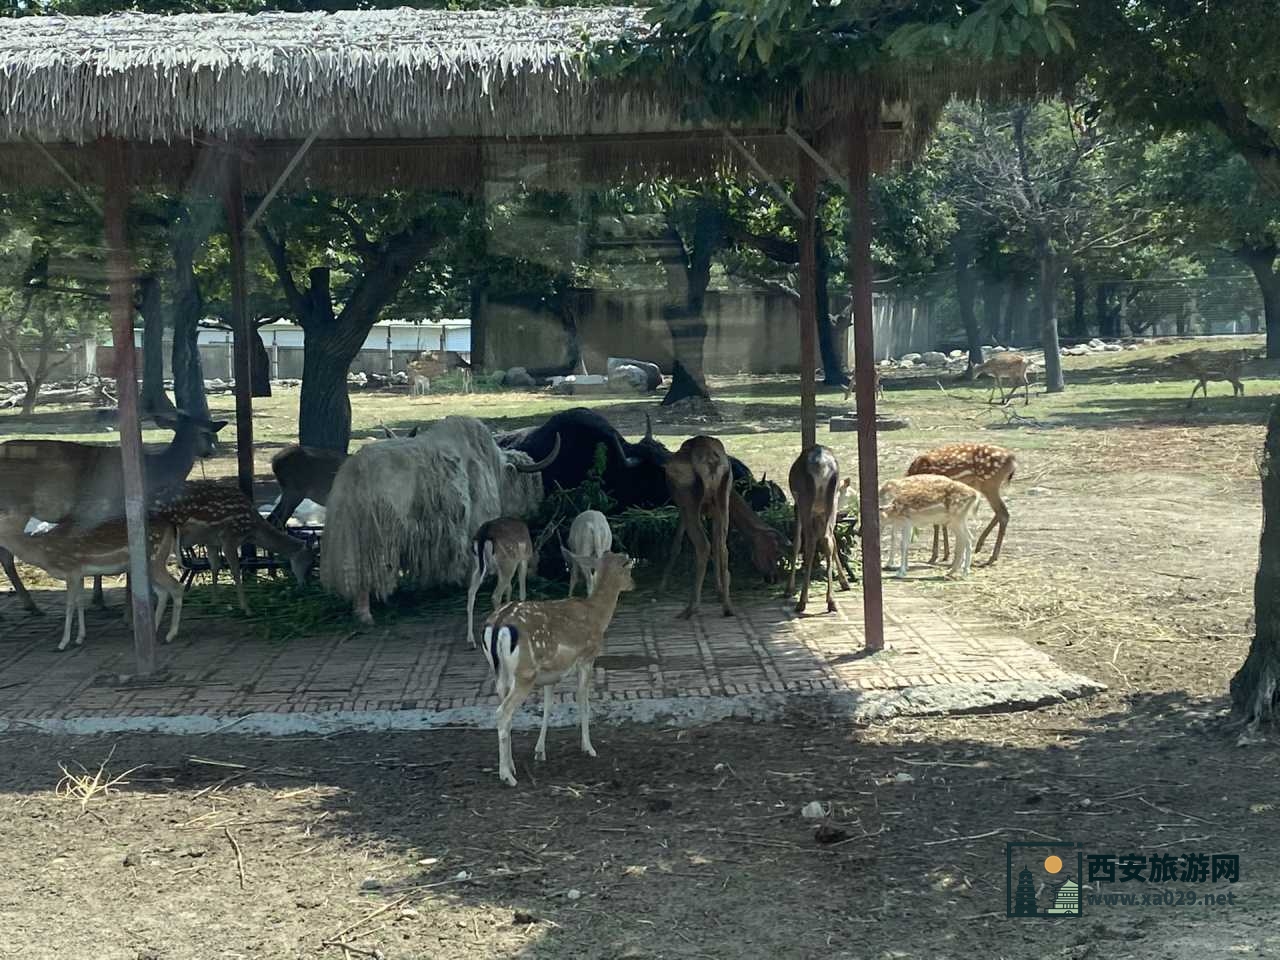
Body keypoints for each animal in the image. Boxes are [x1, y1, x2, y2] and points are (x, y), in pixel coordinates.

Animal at [465, 522, 535, 650]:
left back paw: (471, 640)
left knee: (471, 592)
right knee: (495, 596)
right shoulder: (524, 559)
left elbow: (509, 588)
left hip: (478, 566)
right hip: (508, 563)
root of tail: (484, 534)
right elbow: (522, 592)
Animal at [481, 552, 637, 783]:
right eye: (628, 567)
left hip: (500, 674)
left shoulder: (550, 675)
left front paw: (540, 751)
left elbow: (548, 708)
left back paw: (512, 766)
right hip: (525, 674)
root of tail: (498, 623)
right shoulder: (586, 658)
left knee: (506, 714)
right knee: (503, 712)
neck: (598, 616)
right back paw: (507, 776)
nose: (633, 584)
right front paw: (589, 748)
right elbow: (583, 702)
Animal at [665, 437, 737, 619]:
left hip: (689, 496)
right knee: (723, 547)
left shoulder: (681, 505)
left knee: (704, 545)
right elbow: (717, 547)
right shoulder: (713, 511)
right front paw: (719, 591)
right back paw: (727, 606)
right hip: (724, 496)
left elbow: (676, 542)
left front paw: (662, 585)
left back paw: (691, 607)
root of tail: (712, 461)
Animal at [783, 445, 855, 616]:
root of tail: (822, 466)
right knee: (828, 541)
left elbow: (797, 543)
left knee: (809, 542)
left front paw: (789, 589)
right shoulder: (822, 513)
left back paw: (802, 602)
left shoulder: (797, 506)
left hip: (805, 500)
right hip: (830, 503)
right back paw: (831, 601)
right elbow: (833, 540)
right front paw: (844, 582)